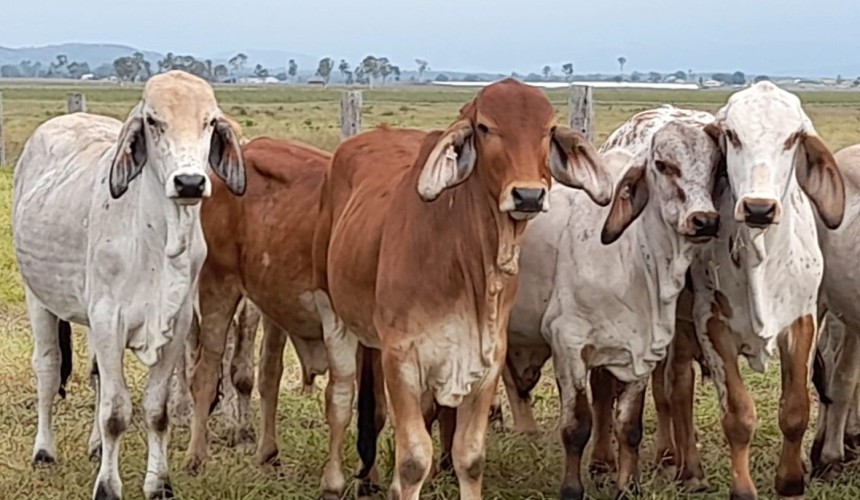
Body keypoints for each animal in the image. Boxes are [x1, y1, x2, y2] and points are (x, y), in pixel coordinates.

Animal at [11, 70, 246, 500]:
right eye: (153, 121)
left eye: (209, 122)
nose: (189, 182)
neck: (158, 241)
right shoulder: (110, 321)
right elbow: (116, 412)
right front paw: (107, 486)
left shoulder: (175, 326)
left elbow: (156, 410)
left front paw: (158, 483)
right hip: (39, 297)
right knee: (49, 369)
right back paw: (44, 450)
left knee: (96, 377)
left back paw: (94, 446)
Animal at [311, 78, 614, 500]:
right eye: (485, 127)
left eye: (549, 129)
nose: (528, 195)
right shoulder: (401, 358)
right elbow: (413, 460)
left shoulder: (486, 363)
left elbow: (468, 457)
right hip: (332, 313)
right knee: (339, 399)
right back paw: (334, 481)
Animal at [679, 81, 845, 498]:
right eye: (732, 135)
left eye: (793, 138)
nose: (758, 208)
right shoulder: (711, 327)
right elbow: (738, 416)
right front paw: (743, 489)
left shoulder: (802, 322)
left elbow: (796, 410)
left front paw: (790, 480)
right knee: (677, 388)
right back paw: (686, 466)